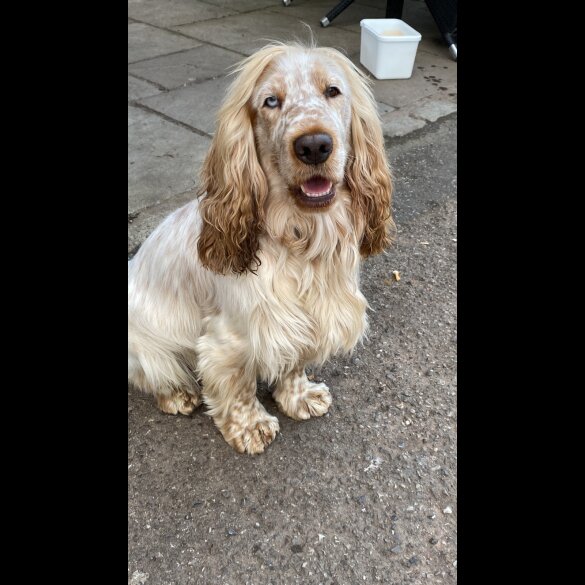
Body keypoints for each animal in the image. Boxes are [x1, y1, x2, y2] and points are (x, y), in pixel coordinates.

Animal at [126, 43, 392, 454]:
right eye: (270, 101)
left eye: (332, 91)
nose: (314, 146)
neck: (299, 237)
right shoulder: (232, 337)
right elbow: (238, 385)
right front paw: (250, 426)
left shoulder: (303, 321)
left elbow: (294, 363)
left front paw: (300, 397)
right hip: (144, 346)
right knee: (154, 374)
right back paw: (177, 395)